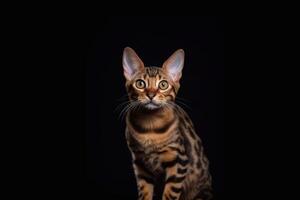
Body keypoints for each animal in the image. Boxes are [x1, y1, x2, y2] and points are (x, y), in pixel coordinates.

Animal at [120, 47, 212, 200]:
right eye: (140, 84)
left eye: (163, 85)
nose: (151, 95)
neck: (150, 126)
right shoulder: (140, 163)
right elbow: (144, 193)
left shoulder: (179, 161)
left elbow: (170, 194)